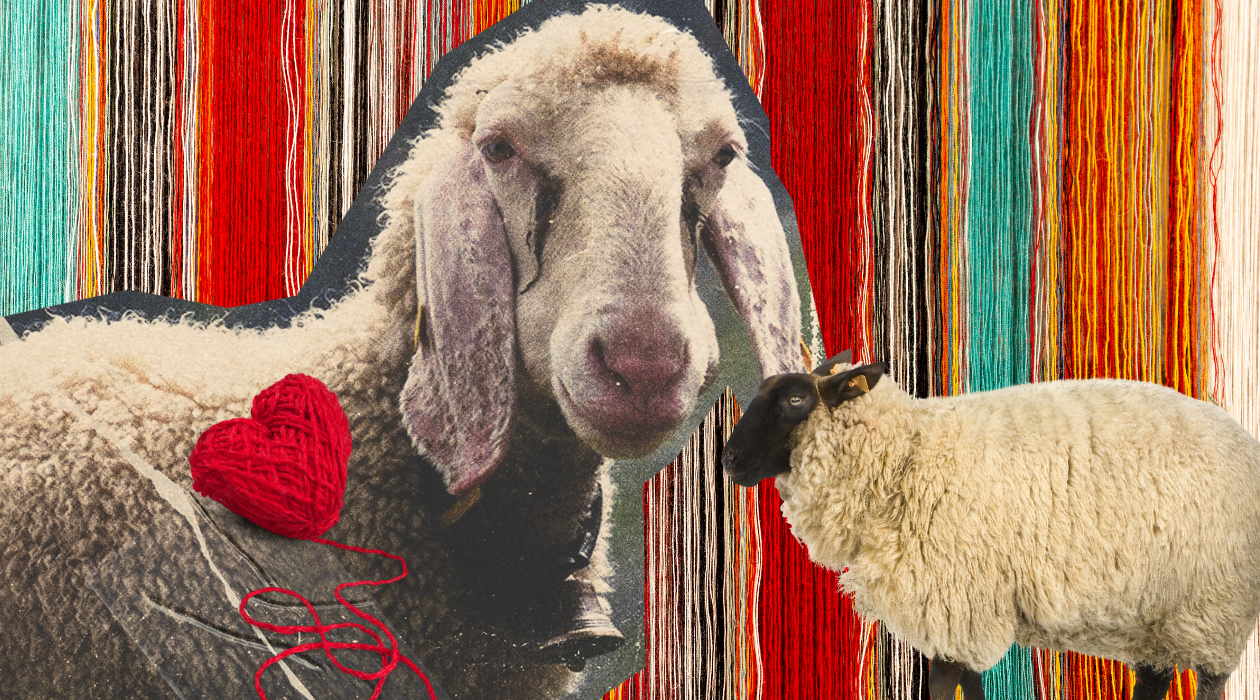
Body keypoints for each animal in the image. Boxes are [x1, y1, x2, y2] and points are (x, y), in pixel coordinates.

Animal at [721, 358, 1260, 700]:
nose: (728, 460)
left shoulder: (954, 596)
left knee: (1209, 682)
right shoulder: (960, 607)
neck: (906, 457)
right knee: (1154, 679)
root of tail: (1244, 440)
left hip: (1213, 605)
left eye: (795, 399)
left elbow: (945, 686)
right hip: (1156, 612)